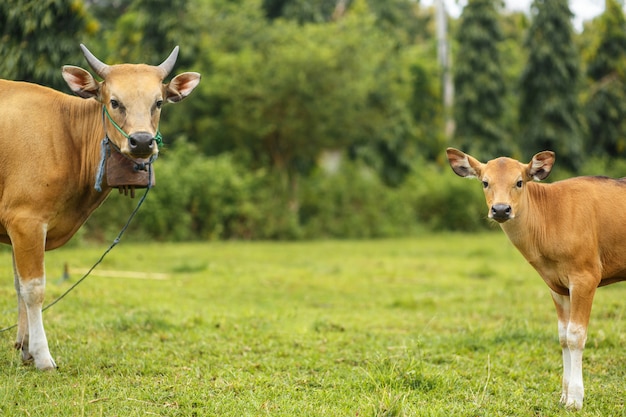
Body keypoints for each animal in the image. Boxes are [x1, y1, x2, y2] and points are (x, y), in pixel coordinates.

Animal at [444, 147, 624, 410]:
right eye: (485, 182)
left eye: (519, 182)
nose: (501, 209)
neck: (551, 218)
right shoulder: (557, 286)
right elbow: (563, 336)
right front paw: (564, 395)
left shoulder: (585, 277)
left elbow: (576, 335)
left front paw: (575, 399)